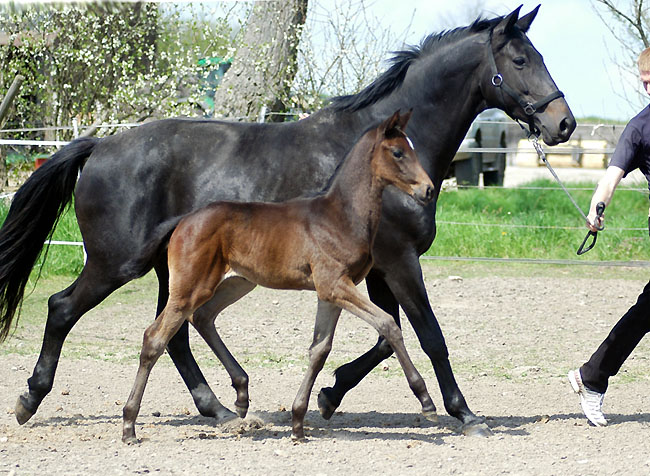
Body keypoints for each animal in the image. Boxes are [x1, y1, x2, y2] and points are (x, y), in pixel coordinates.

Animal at [121, 111, 436, 442]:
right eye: (398, 152)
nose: (428, 190)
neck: (341, 217)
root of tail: (182, 221)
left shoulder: (330, 292)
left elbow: (319, 349)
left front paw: (298, 421)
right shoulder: (335, 284)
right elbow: (388, 324)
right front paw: (426, 400)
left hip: (236, 282)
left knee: (203, 317)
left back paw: (241, 395)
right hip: (190, 287)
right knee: (155, 337)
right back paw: (129, 425)